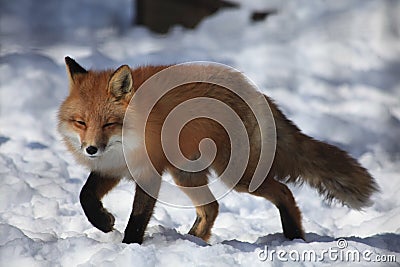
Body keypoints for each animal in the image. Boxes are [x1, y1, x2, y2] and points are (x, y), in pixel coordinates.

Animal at [58, 57, 378, 245]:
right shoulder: (111, 167)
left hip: (238, 176)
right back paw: (195, 240)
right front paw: (103, 222)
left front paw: (129, 247)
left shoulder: (148, 171)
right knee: (211, 207)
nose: (90, 149)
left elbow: (137, 219)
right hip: (186, 174)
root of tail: (258, 92)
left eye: (109, 123)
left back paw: (294, 236)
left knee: (284, 192)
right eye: (81, 122)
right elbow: (85, 197)